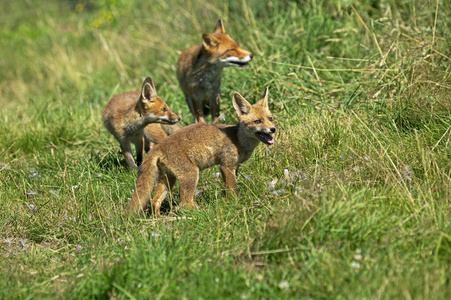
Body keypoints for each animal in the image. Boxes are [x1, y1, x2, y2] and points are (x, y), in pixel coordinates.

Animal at [127, 86, 276, 216]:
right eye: (257, 121)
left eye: (270, 119)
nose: (273, 129)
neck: (238, 139)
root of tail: (157, 147)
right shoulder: (226, 166)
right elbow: (234, 189)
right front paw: (237, 203)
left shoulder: (234, 166)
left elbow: (228, 187)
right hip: (191, 174)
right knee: (184, 204)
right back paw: (203, 213)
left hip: (169, 179)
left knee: (154, 202)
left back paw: (161, 221)